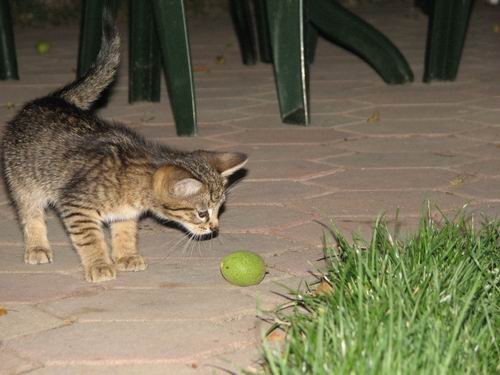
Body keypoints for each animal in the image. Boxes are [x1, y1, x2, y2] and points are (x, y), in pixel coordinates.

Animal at [1, 10, 247, 284]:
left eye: (219, 210)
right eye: (202, 213)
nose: (215, 228)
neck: (139, 178)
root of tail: (52, 99)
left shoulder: (126, 214)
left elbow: (125, 233)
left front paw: (126, 256)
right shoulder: (77, 206)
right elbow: (90, 239)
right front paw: (99, 264)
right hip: (24, 183)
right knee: (30, 214)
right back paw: (37, 247)